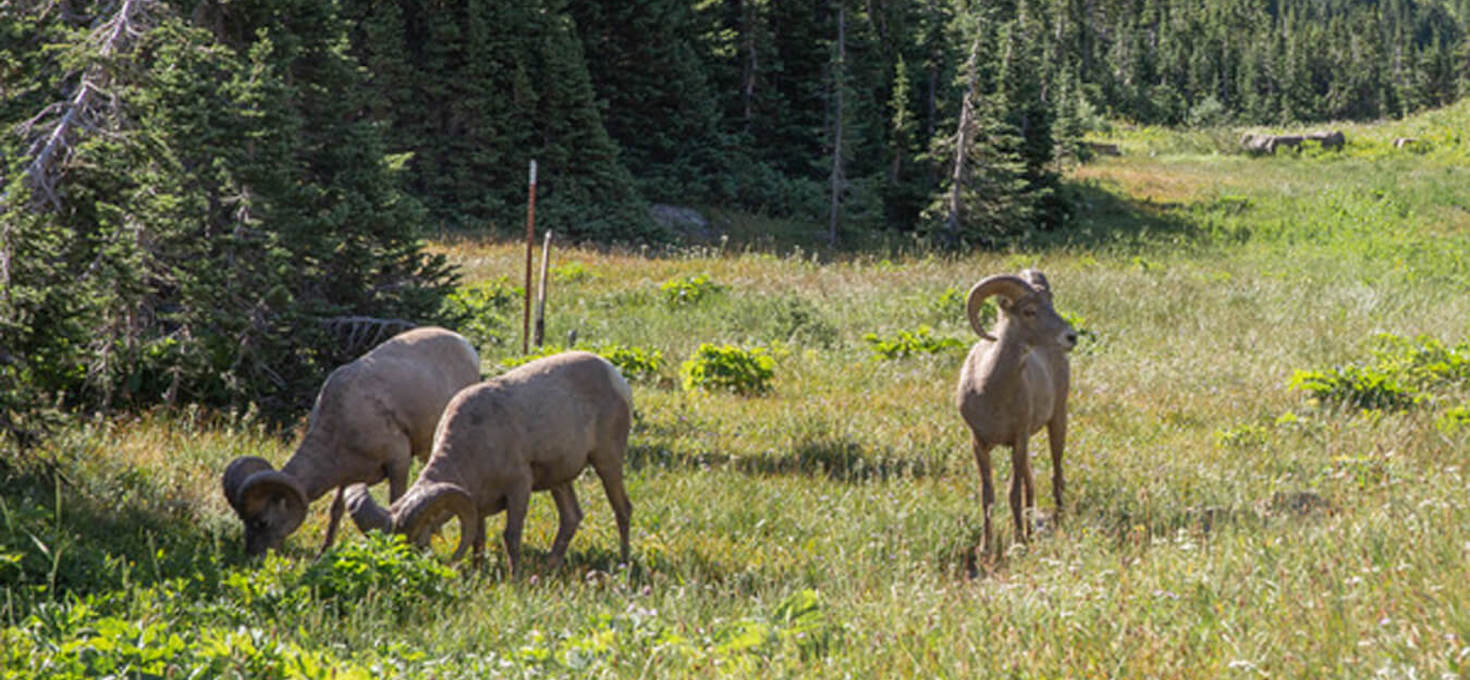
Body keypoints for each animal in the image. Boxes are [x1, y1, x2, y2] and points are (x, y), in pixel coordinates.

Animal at [220, 328, 479, 558]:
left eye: (262, 522)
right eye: (243, 520)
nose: (254, 556)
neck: (341, 421)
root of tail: (465, 345)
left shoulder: (398, 462)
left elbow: (396, 501)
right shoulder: (347, 477)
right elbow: (336, 510)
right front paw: (323, 553)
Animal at [352, 351, 640, 575]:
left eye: (415, 544)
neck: (473, 443)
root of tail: (614, 375)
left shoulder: (519, 488)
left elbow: (511, 536)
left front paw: (515, 580)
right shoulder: (476, 504)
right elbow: (478, 541)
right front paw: (477, 575)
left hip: (607, 461)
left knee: (622, 510)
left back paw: (624, 563)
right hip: (560, 481)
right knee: (571, 517)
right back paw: (550, 567)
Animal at [952, 271, 1081, 558]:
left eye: (1050, 303)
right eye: (1029, 311)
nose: (1071, 337)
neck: (990, 390)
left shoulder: (1018, 439)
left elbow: (1013, 492)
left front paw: (1017, 543)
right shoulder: (979, 443)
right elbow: (988, 495)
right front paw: (985, 547)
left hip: (1057, 420)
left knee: (1056, 472)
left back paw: (1056, 520)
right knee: (1029, 483)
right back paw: (1031, 527)